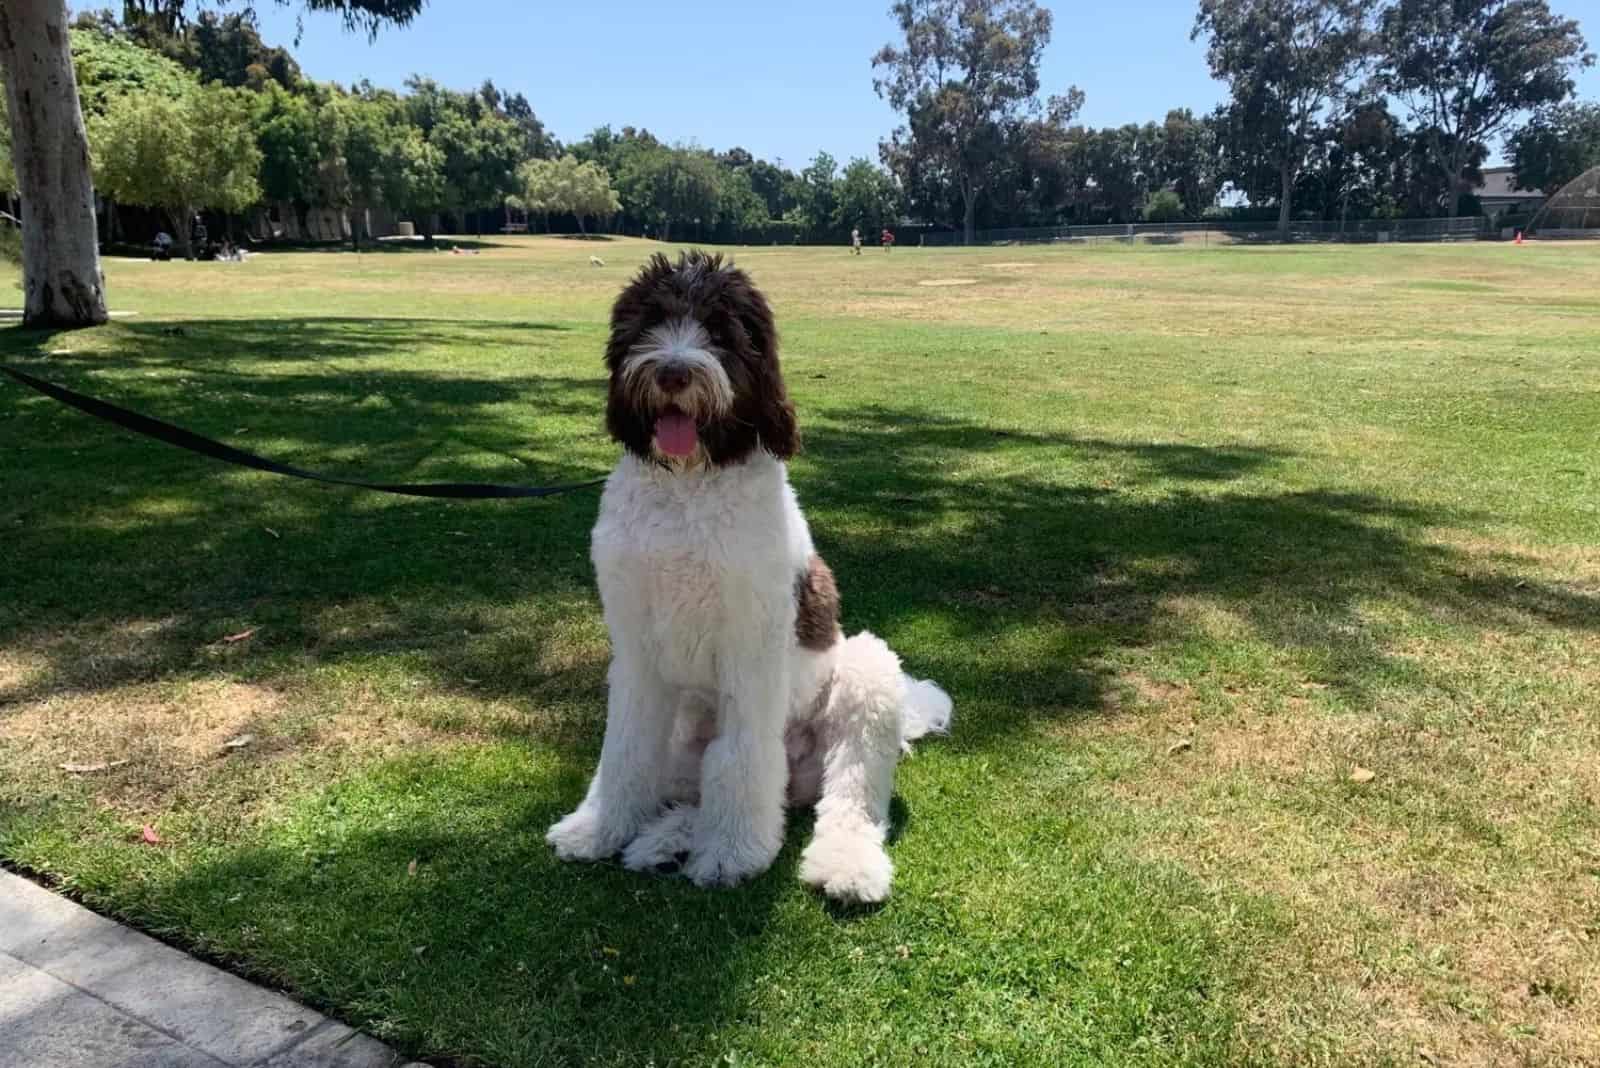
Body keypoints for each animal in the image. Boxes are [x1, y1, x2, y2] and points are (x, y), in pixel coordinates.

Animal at [550, 251, 947, 901]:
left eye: (720, 332)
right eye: (650, 323)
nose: (674, 372)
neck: (689, 485)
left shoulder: (750, 648)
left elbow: (738, 760)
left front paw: (732, 855)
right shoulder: (635, 649)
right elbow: (625, 748)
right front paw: (599, 828)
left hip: (865, 675)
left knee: (848, 796)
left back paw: (844, 864)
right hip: (684, 734)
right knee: (695, 787)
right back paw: (665, 840)